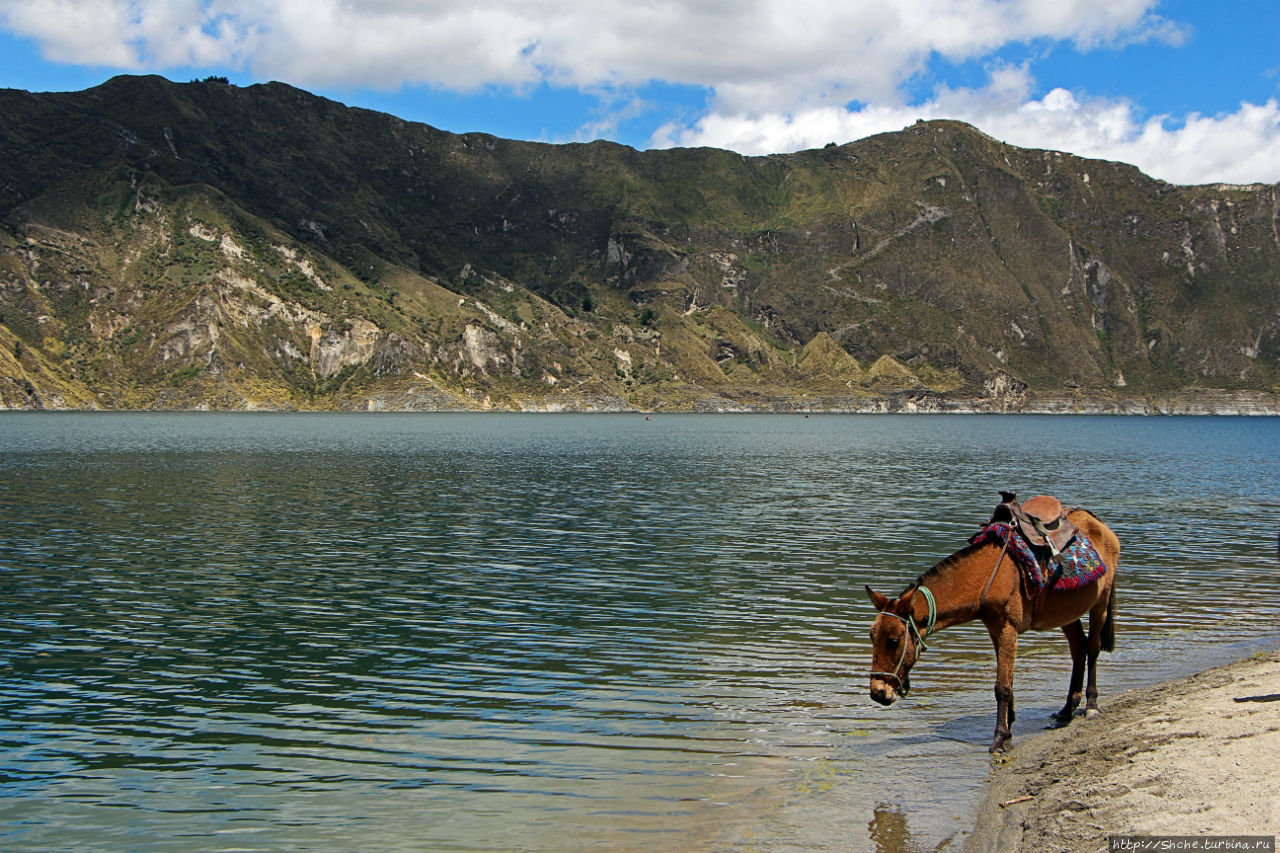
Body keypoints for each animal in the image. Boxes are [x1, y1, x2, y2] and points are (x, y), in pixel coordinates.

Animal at [860, 499, 1121, 753]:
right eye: (872, 637)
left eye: (894, 640)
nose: (877, 692)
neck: (987, 575)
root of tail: (1100, 524)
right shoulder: (995, 631)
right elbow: (1008, 680)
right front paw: (1009, 727)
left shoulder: (1007, 628)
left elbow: (1002, 687)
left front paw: (998, 739)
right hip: (1067, 614)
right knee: (1078, 650)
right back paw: (1067, 709)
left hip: (1100, 603)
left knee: (1092, 648)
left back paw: (1091, 704)